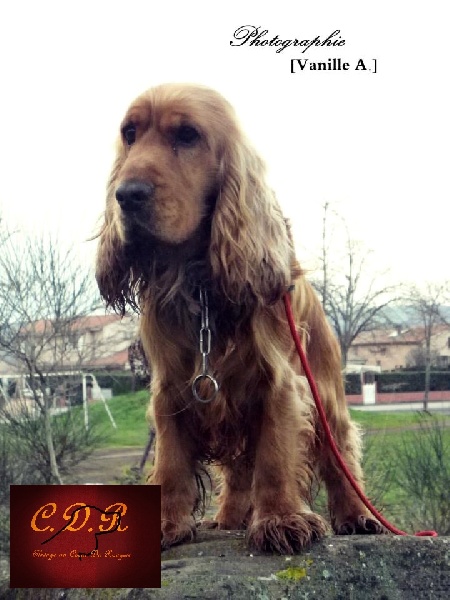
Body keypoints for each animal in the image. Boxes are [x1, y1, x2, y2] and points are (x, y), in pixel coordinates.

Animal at [95, 83, 383, 553]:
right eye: (130, 133)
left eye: (188, 135)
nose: (127, 194)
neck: (199, 282)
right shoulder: (173, 388)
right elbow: (171, 462)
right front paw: (167, 523)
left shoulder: (279, 384)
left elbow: (275, 458)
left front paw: (281, 519)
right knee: (237, 472)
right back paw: (228, 517)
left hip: (327, 396)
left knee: (339, 454)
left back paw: (355, 515)